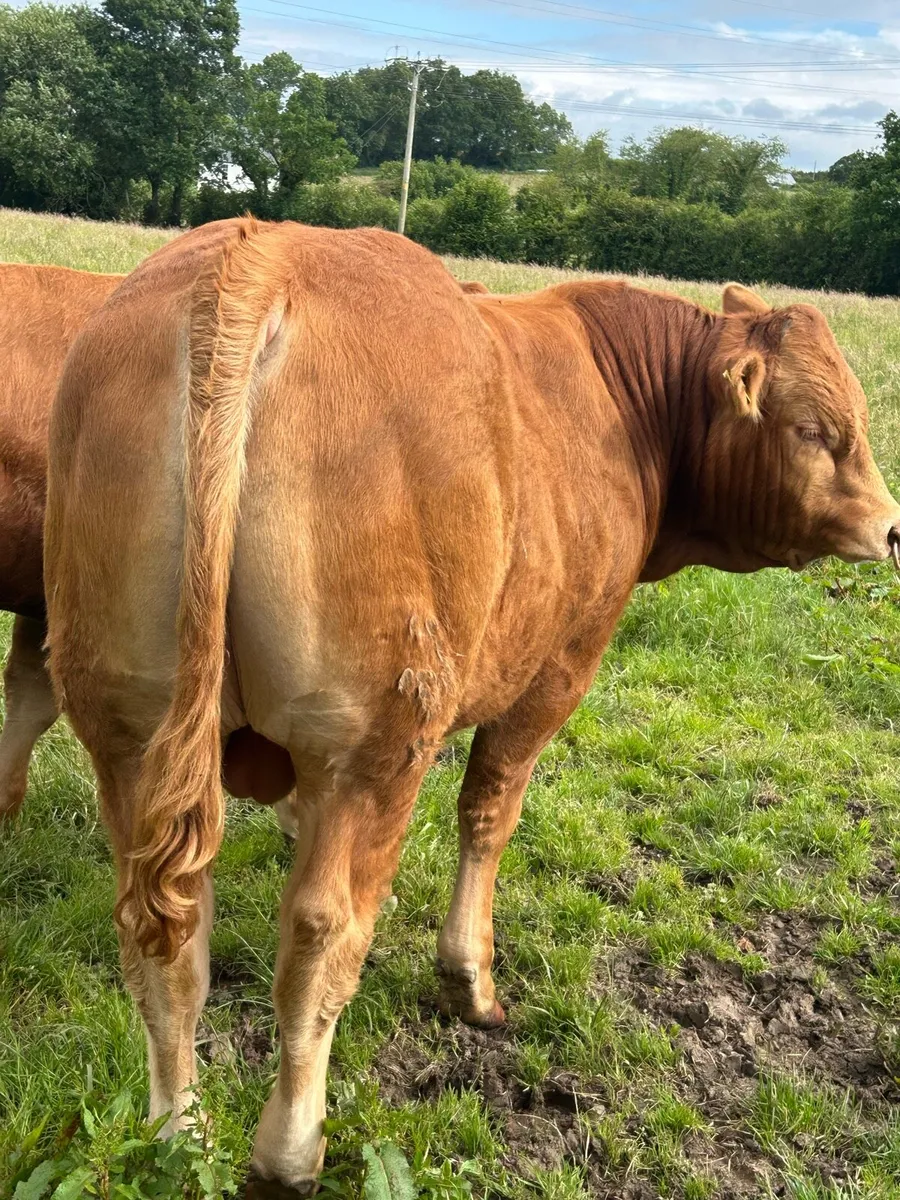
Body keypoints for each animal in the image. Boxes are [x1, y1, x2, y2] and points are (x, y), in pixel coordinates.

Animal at [44, 218, 900, 1197]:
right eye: (815, 429)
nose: (891, 526)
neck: (617, 397)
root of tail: (261, 252)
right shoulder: (559, 664)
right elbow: (490, 811)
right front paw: (471, 979)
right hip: (378, 743)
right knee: (324, 937)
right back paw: (290, 1153)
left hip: (129, 731)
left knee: (166, 935)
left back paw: (176, 1135)